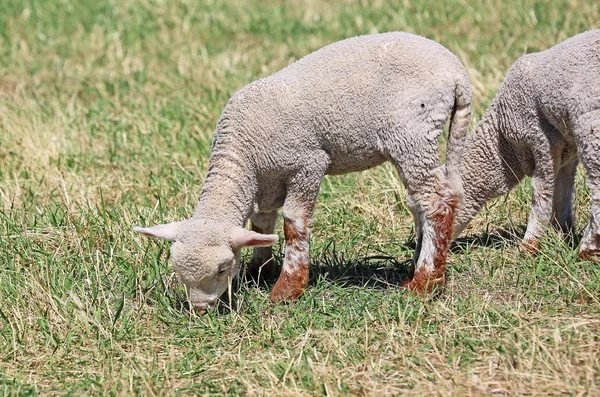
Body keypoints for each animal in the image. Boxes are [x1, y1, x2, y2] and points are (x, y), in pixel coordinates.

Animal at [134, 31, 472, 310]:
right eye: (178, 271)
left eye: (221, 268)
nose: (201, 309)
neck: (241, 155)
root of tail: (456, 71)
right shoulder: (267, 183)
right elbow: (262, 224)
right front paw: (258, 273)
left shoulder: (307, 164)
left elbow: (293, 223)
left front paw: (287, 289)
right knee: (426, 201)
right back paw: (418, 269)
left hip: (412, 133)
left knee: (437, 202)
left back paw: (424, 283)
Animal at [450, 27, 600, 256]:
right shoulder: (566, 148)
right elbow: (563, 190)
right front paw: (562, 234)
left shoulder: (541, 139)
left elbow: (542, 192)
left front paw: (528, 247)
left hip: (592, 127)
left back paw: (588, 250)